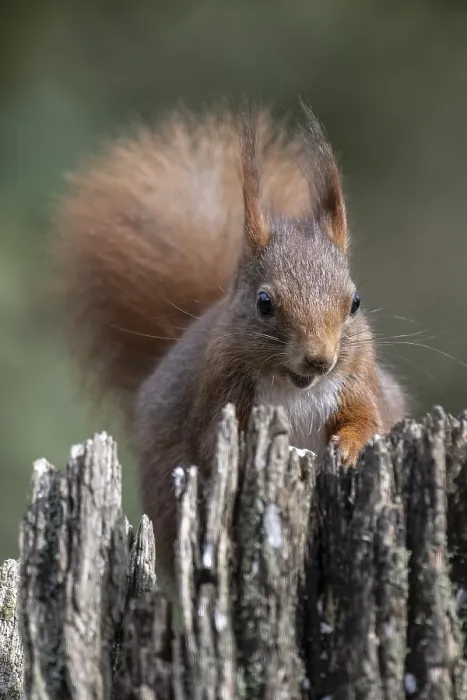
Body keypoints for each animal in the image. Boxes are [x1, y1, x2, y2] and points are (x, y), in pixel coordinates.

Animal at [53, 103, 407, 591]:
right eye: (264, 303)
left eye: (355, 303)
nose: (319, 358)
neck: (295, 388)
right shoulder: (220, 396)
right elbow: (216, 444)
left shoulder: (358, 382)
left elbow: (367, 420)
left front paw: (349, 447)